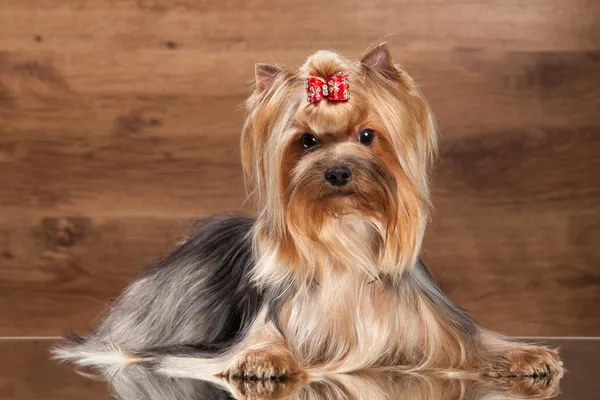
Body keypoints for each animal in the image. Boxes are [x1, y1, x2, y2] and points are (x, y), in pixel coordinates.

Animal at [51, 43, 564, 382]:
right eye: (307, 141)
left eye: (367, 136)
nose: (337, 172)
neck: (345, 230)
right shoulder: (271, 319)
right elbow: (261, 342)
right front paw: (263, 360)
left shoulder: (433, 323)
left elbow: (479, 342)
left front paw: (527, 356)